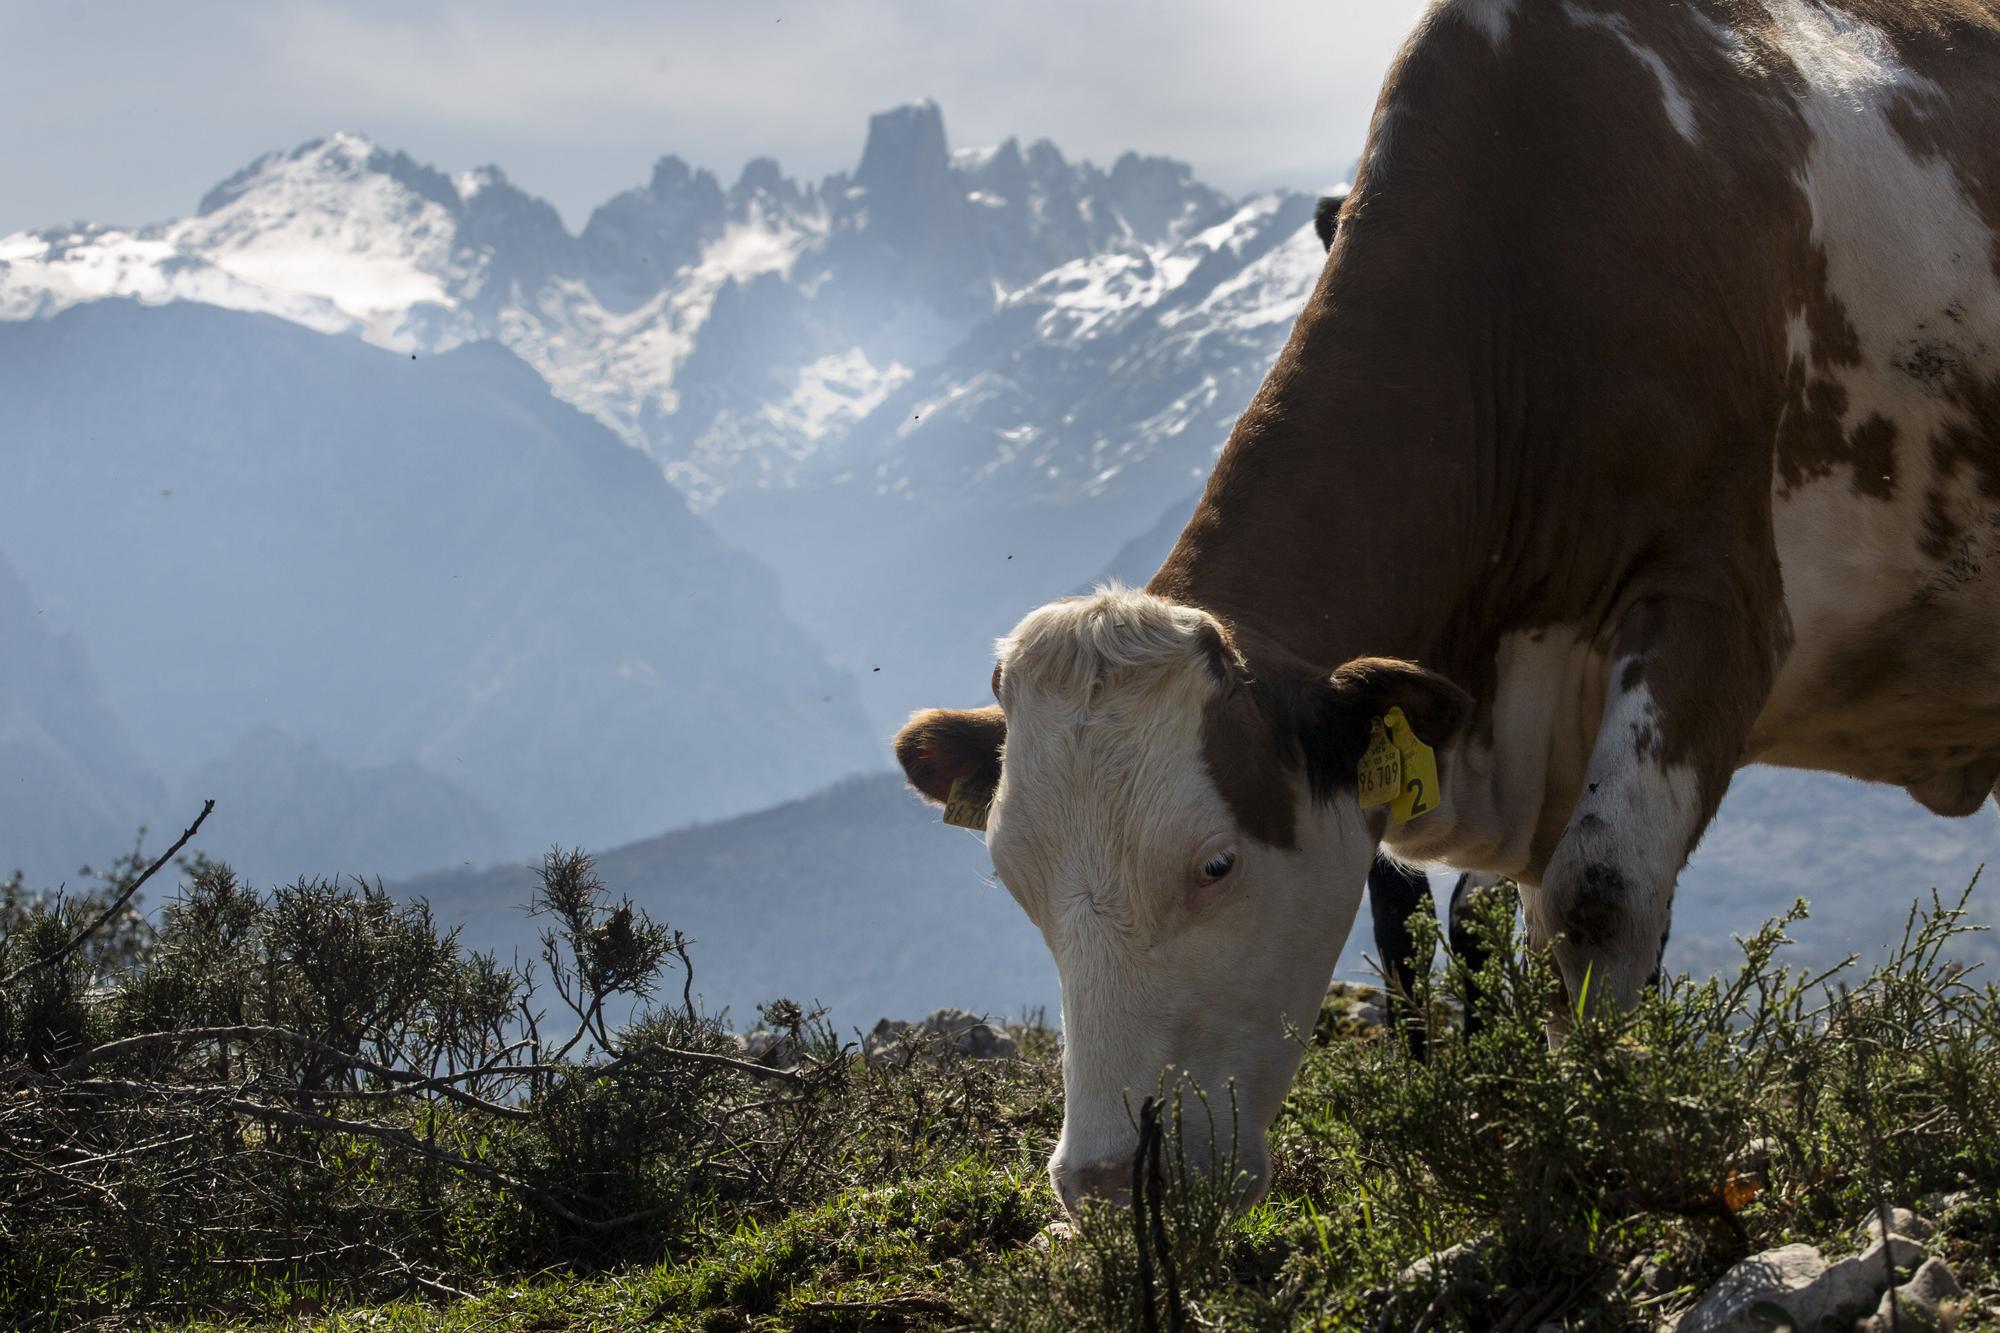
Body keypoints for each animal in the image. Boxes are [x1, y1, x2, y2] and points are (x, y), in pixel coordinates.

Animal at [900, 0, 2000, 1216]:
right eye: (1015, 878)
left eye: (1216, 863)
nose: (1101, 1179)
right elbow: (1434, 925)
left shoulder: (1714, 604)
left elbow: (1598, 895)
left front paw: (1601, 1124)